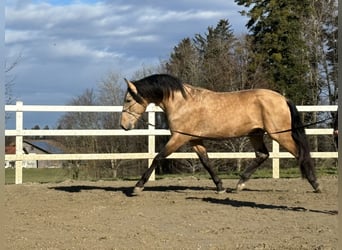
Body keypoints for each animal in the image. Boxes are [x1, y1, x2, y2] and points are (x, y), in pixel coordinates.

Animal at [120, 73, 320, 194]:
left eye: (128, 99)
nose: (123, 126)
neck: (181, 103)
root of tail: (283, 98)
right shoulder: (194, 140)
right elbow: (206, 162)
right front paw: (220, 186)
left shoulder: (179, 137)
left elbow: (158, 157)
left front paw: (137, 187)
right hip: (255, 134)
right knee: (262, 155)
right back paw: (239, 185)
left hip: (279, 135)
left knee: (300, 153)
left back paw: (315, 184)